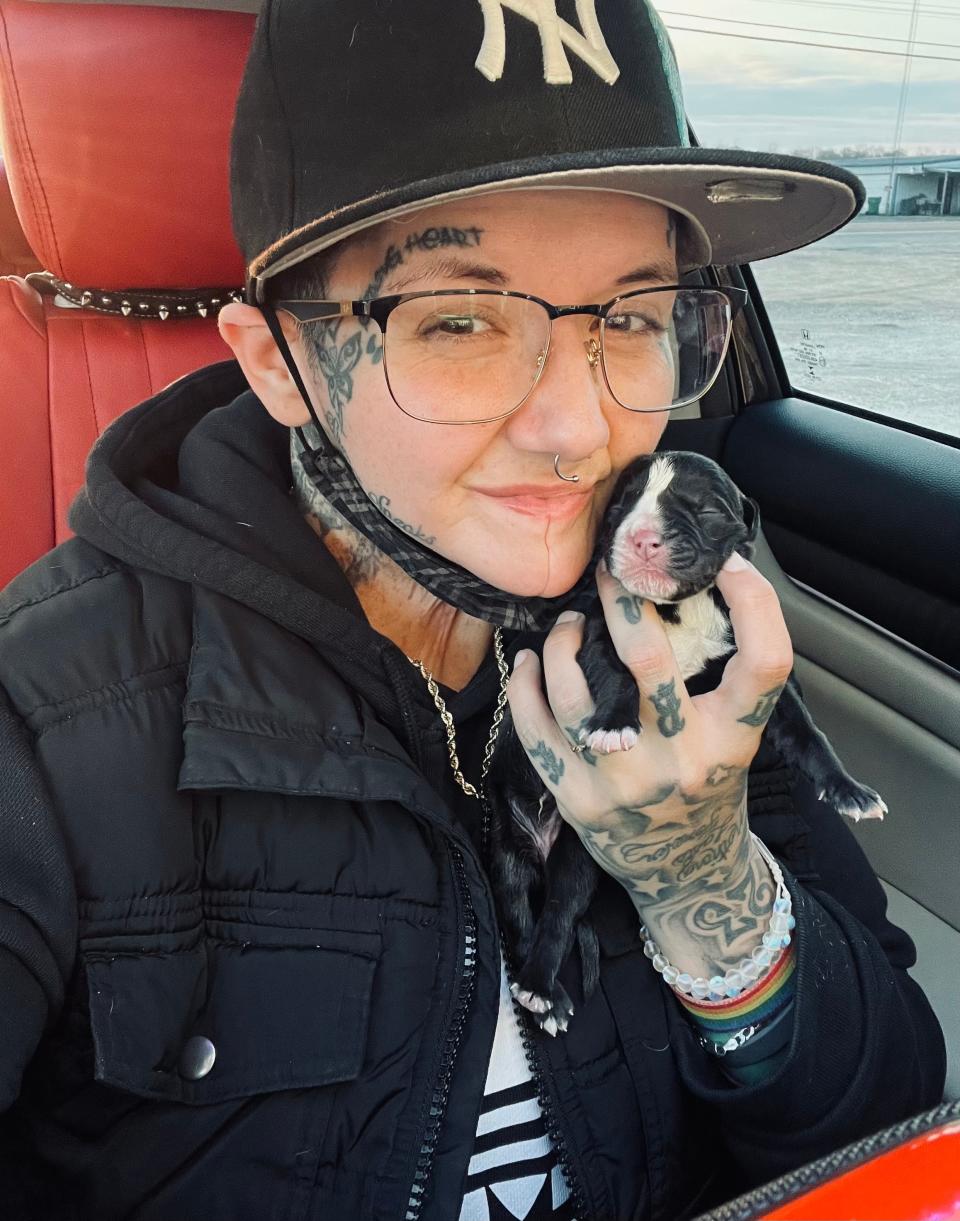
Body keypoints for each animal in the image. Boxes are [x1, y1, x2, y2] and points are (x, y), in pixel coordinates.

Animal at [486, 454, 884, 1035]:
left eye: (707, 509)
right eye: (621, 504)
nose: (643, 536)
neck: (678, 612)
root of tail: (538, 844)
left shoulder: (753, 676)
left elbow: (808, 733)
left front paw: (849, 790)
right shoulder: (596, 632)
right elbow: (618, 675)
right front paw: (613, 724)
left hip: (577, 861)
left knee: (557, 912)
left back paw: (545, 992)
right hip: (511, 855)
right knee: (523, 918)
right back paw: (542, 990)